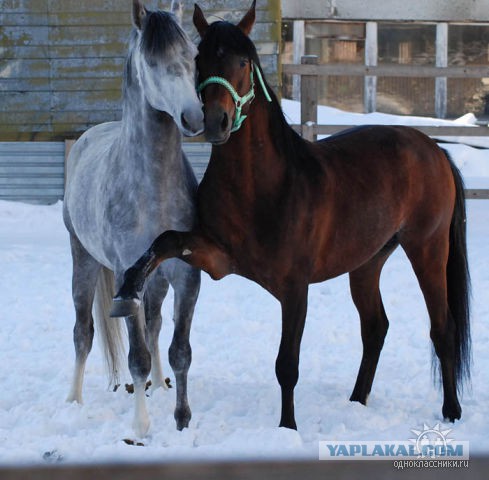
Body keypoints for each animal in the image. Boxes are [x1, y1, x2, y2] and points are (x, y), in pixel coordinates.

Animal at [63, 0, 203, 438]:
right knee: (83, 332)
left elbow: (180, 350)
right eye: (152, 61)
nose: (195, 118)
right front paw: (141, 426)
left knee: (153, 323)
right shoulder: (127, 271)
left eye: (193, 55)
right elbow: (136, 356)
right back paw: (73, 401)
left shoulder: (185, 273)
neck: (151, 187)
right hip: (84, 260)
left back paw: (158, 386)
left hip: (153, 279)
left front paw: (182, 417)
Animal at [110, 0, 468, 428]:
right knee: (375, 327)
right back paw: (357, 399)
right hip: (368, 261)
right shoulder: (217, 257)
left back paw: (451, 411)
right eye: (199, 58)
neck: (263, 187)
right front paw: (129, 286)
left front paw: (287, 427)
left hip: (427, 248)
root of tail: (435, 150)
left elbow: (287, 365)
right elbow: (165, 240)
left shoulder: (295, 288)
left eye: (245, 61)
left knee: (442, 327)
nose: (215, 122)